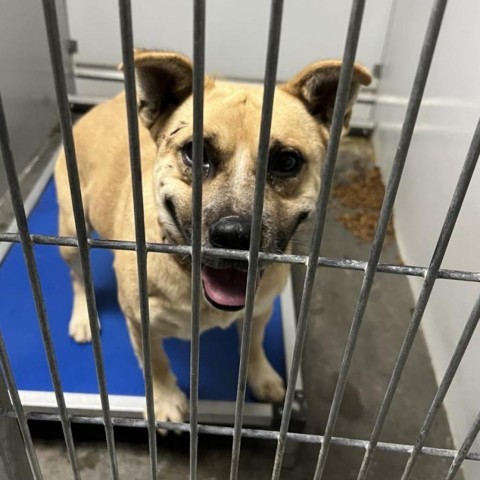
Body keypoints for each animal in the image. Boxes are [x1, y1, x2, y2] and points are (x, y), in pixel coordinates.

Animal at [56, 49, 372, 424]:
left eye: (287, 162)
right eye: (195, 153)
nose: (235, 236)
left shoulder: (261, 309)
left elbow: (254, 344)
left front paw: (261, 376)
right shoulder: (139, 322)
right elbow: (156, 363)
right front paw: (165, 400)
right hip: (70, 234)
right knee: (77, 278)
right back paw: (82, 319)